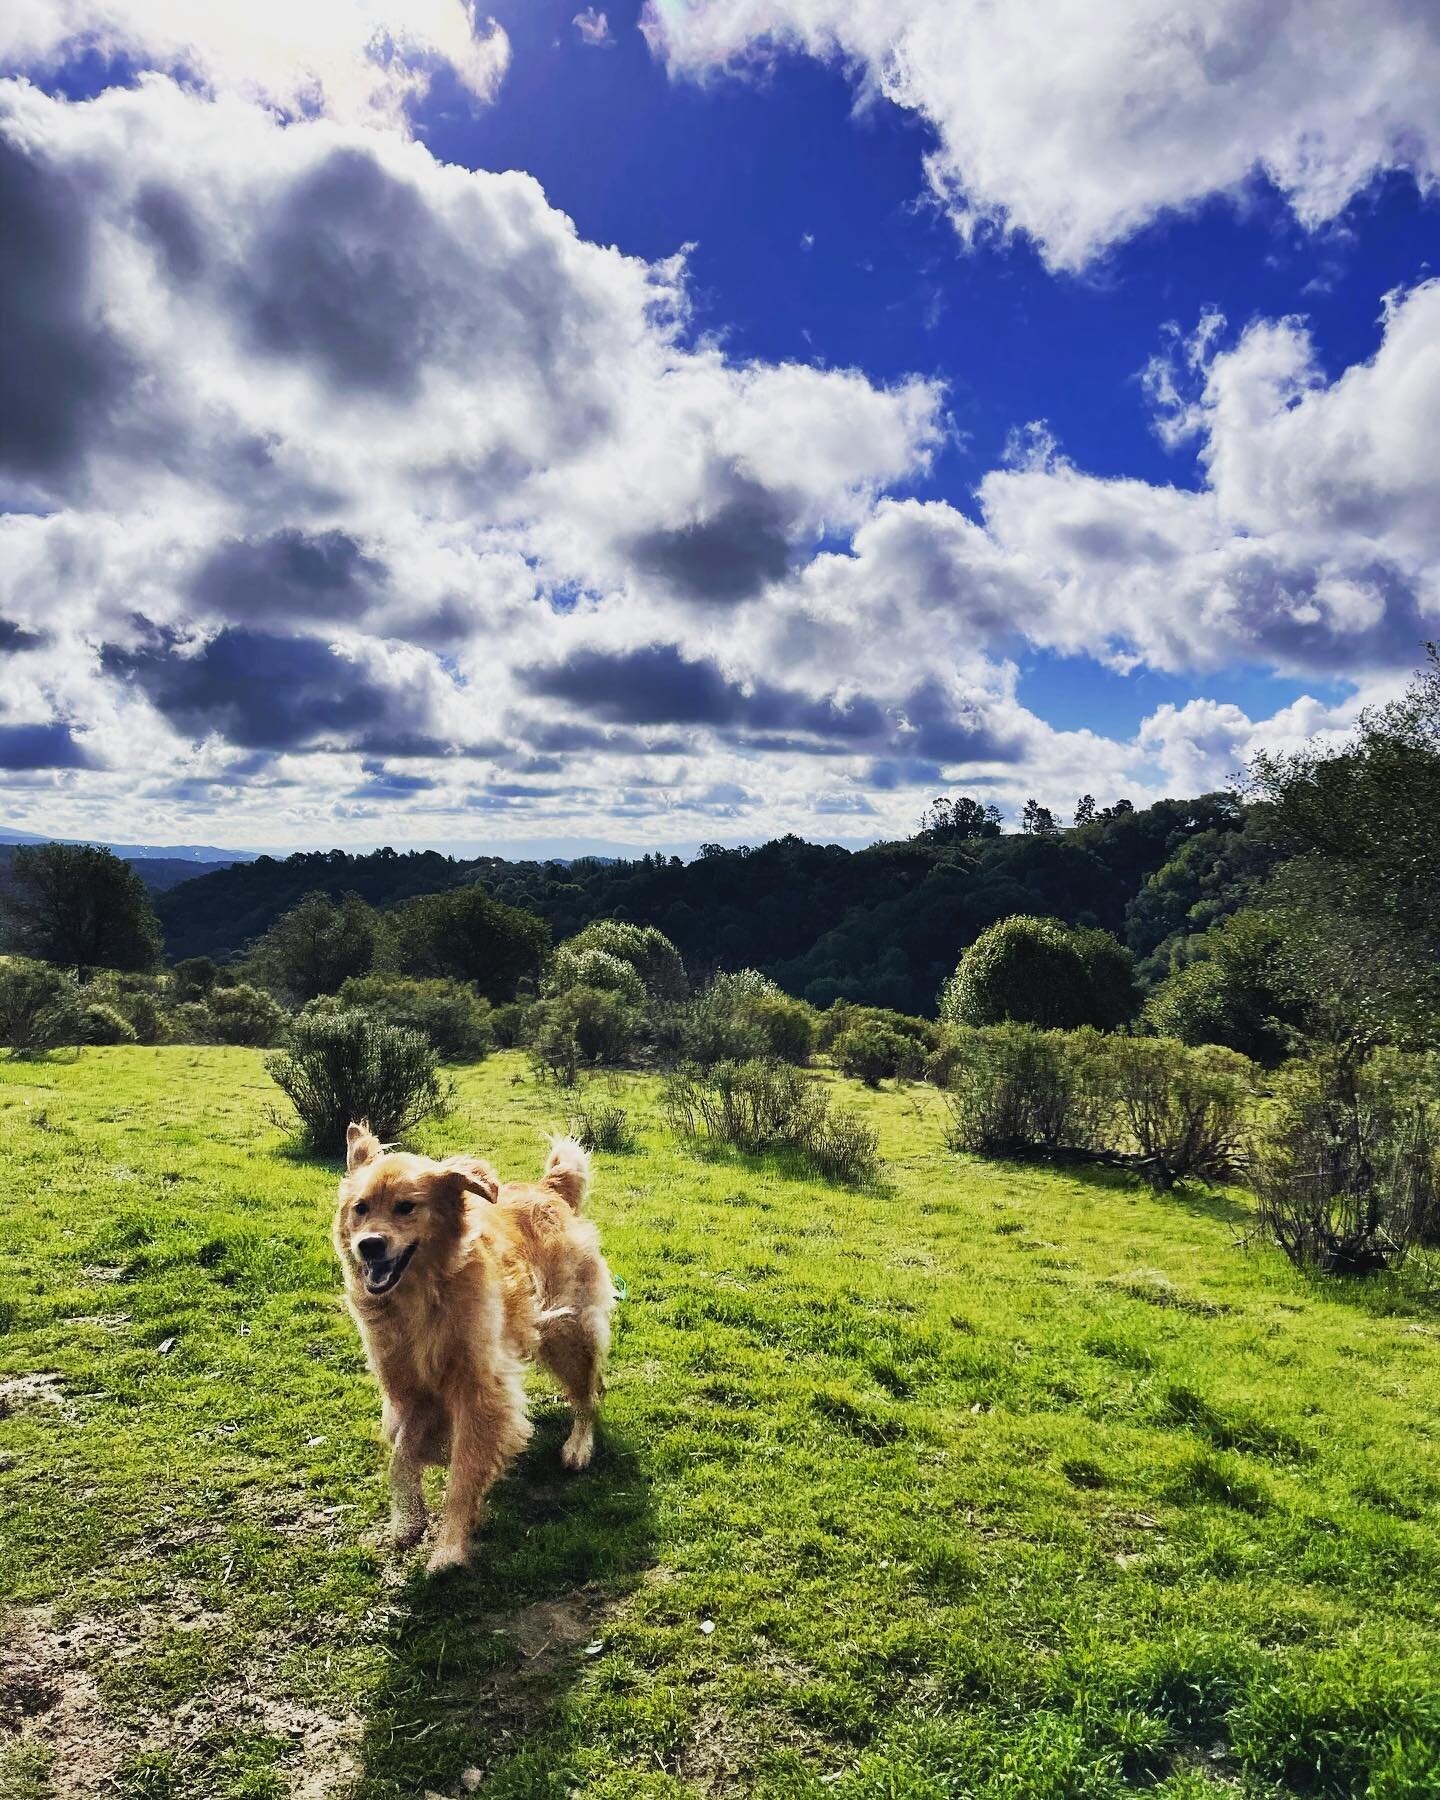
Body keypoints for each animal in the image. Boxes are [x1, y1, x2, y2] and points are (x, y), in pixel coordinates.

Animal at [334, 1116, 612, 1569]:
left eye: (406, 1207)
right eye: (361, 1208)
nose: (369, 1245)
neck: (424, 1296)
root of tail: (547, 1189)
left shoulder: (479, 1389)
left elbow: (464, 1472)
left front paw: (450, 1545)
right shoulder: (413, 1390)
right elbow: (401, 1455)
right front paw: (407, 1521)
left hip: (567, 1333)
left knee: (588, 1394)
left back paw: (579, 1445)